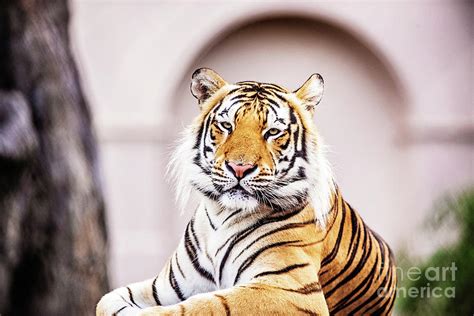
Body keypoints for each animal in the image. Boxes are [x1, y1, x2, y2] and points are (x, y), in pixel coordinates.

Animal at [95, 68, 396, 314]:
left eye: (273, 132)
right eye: (227, 125)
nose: (240, 168)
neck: (222, 215)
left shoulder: (289, 289)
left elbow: (206, 306)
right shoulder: (166, 286)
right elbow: (107, 299)